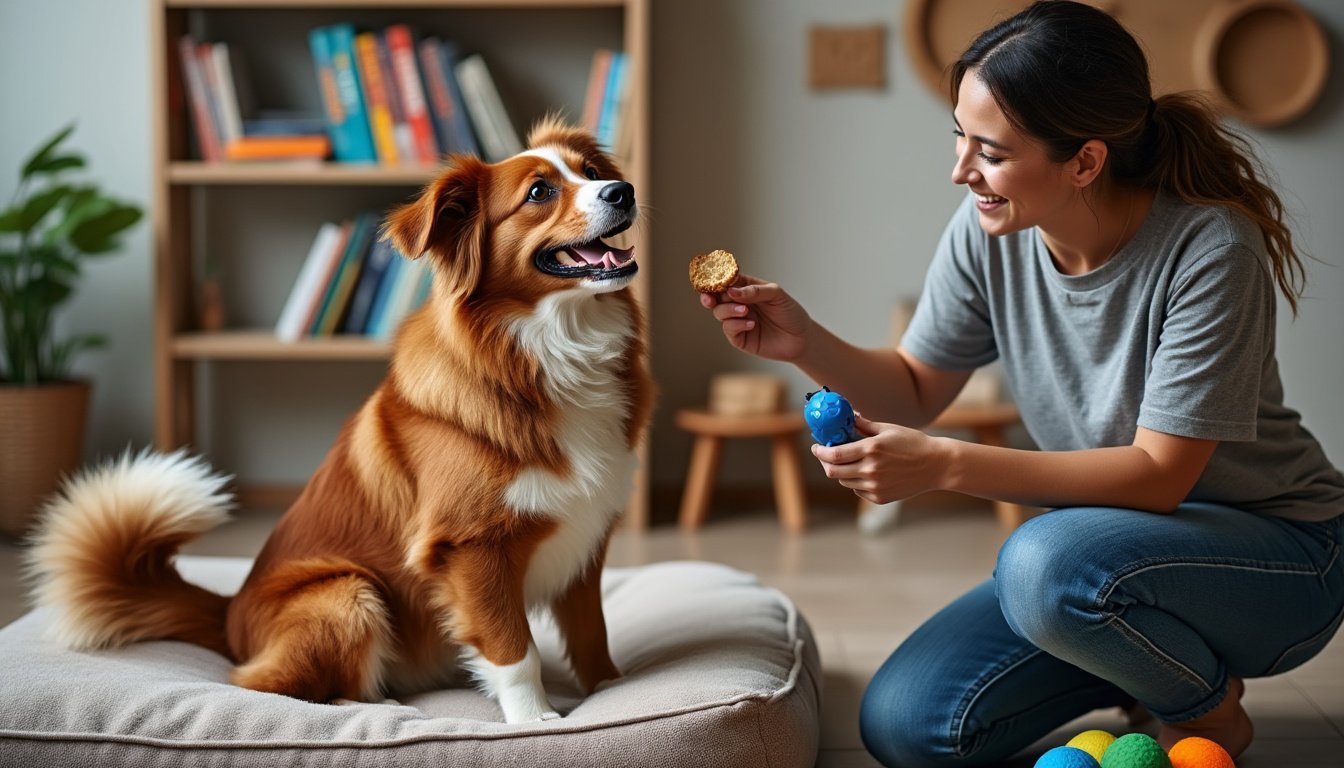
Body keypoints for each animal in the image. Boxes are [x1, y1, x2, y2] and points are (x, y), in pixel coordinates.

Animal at [21, 117, 650, 726]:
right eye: (539, 193)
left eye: (592, 172)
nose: (624, 190)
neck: (551, 350)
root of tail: (229, 616)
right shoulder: (470, 548)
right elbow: (514, 650)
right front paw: (534, 719)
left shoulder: (586, 536)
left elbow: (591, 632)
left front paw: (611, 690)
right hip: (349, 592)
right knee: (270, 686)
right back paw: (378, 707)